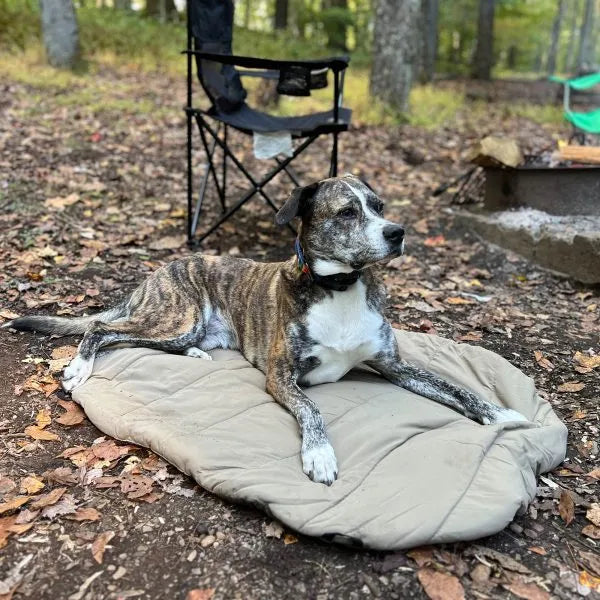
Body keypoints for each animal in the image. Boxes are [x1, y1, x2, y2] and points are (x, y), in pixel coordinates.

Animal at [5, 172, 528, 482]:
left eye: (379, 206)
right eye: (347, 212)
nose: (397, 233)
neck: (339, 287)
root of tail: (155, 272)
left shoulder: (393, 366)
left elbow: (454, 386)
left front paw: (500, 413)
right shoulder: (281, 377)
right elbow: (313, 411)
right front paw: (320, 455)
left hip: (184, 328)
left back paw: (195, 355)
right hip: (177, 316)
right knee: (101, 328)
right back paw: (79, 369)